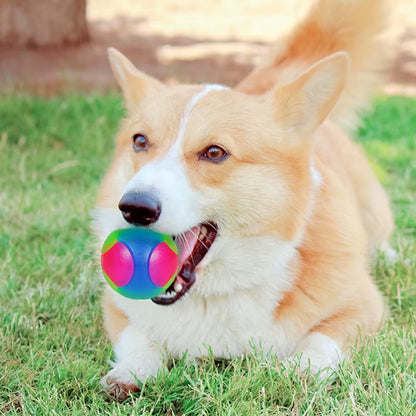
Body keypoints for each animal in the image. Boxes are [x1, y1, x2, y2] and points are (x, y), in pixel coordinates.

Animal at [93, 0, 394, 402]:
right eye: (139, 141)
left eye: (215, 152)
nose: (134, 208)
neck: (216, 293)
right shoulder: (118, 309)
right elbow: (138, 337)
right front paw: (131, 372)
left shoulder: (363, 307)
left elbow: (321, 341)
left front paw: (300, 371)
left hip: (373, 206)